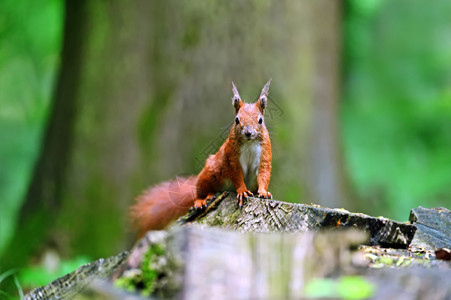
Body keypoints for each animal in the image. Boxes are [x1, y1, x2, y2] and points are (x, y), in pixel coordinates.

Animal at [129, 81, 274, 236]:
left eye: (260, 120)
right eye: (237, 120)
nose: (248, 132)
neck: (249, 142)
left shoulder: (265, 154)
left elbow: (264, 173)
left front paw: (264, 192)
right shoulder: (231, 157)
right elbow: (236, 175)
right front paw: (242, 191)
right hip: (210, 173)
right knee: (201, 191)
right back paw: (203, 199)